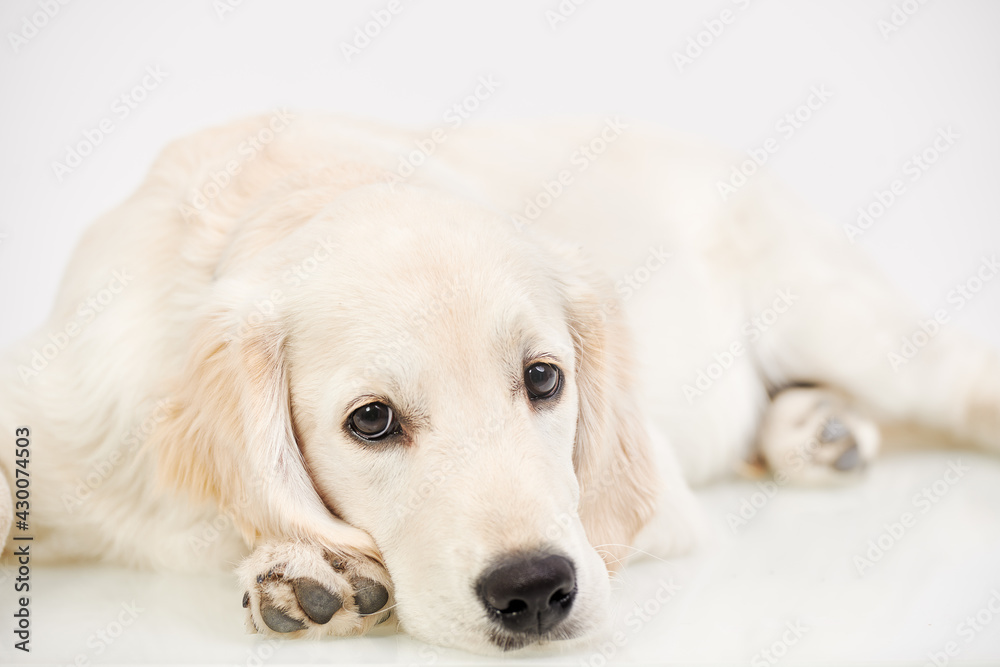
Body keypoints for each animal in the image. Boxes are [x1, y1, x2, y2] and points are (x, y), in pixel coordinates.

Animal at [1, 112, 1000, 656]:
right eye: (371, 420)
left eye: (544, 377)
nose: (536, 592)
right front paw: (308, 569)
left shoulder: (645, 496)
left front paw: (305, 568)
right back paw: (816, 431)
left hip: (839, 316)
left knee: (951, 370)